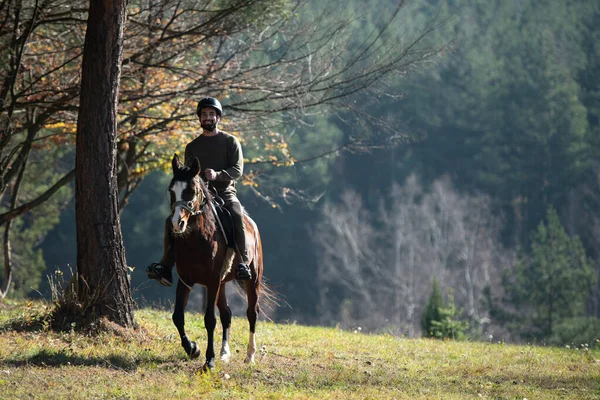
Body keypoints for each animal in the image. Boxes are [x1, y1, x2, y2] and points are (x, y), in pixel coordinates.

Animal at [168, 152, 264, 370]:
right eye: (171, 190)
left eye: (192, 191)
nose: (177, 224)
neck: (197, 239)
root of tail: (252, 225)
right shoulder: (186, 280)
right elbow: (178, 316)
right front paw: (192, 349)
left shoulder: (212, 281)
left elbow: (210, 319)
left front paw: (209, 360)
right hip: (222, 283)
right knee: (227, 314)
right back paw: (224, 353)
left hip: (252, 279)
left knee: (251, 313)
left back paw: (250, 355)